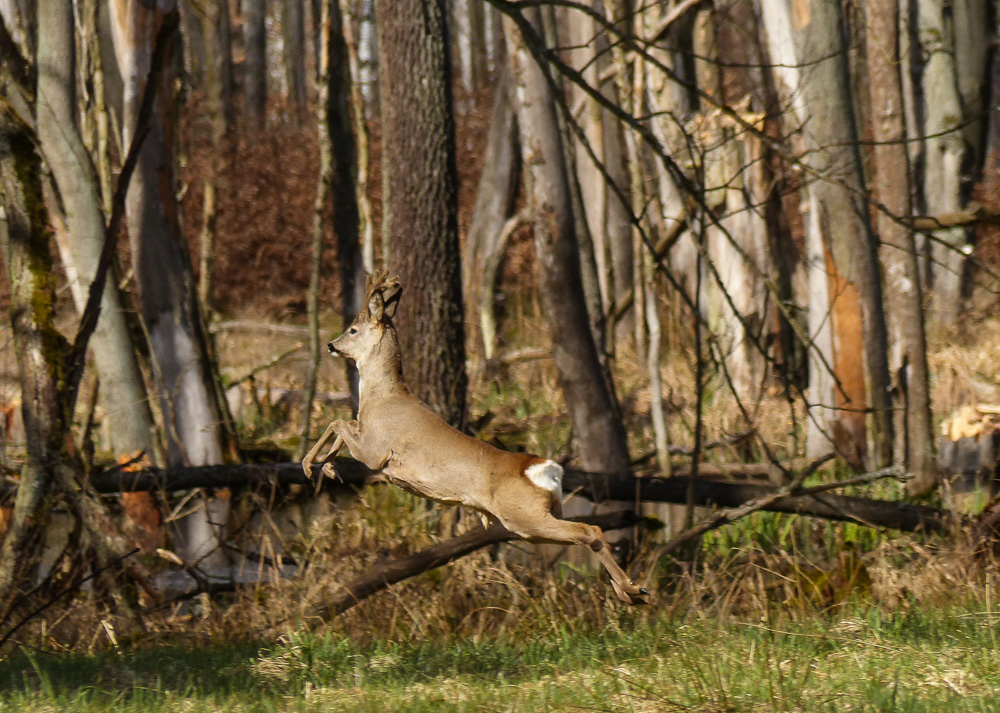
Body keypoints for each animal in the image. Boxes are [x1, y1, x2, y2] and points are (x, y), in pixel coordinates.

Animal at [302, 270, 648, 604]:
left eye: (353, 329)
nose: (331, 345)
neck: (381, 394)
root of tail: (546, 469)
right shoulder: (368, 441)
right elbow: (343, 424)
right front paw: (328, 468)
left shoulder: (377, 451)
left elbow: (337, 422)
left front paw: (310, 465)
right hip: (541, 515)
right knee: (588, 531)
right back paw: (630, 591)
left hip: (523, 517)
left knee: (589, 529)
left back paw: (632, 591)